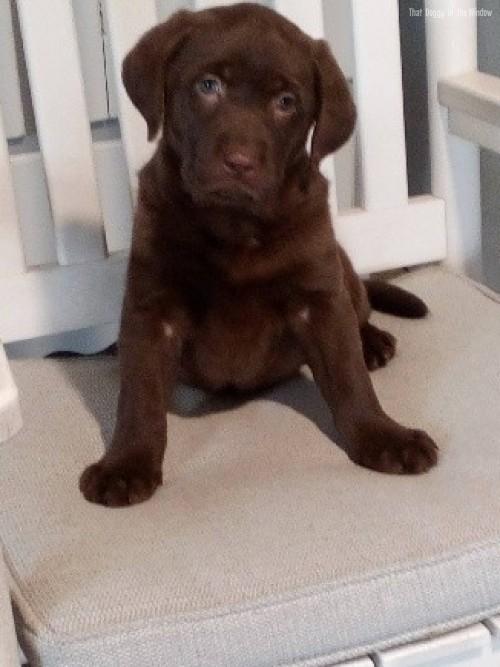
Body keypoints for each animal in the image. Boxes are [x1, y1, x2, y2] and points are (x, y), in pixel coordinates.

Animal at [80, 2, 438, 507]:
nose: (240, 162)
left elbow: (349, 378)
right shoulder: (152, 310)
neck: (235, 227)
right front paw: (126, 463)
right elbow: (140, 396)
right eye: (208, 85)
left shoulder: (319, 299)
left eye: (286, 102)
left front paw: (384, 436)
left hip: (341, 270)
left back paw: (372, 342)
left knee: (360, 310)